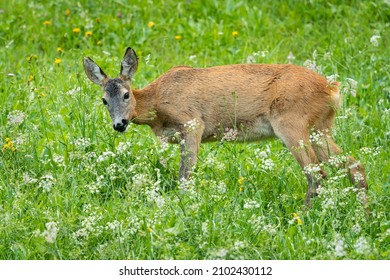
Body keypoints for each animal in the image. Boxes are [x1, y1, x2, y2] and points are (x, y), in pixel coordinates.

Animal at [84, 47, 368, 205]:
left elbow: (184, 176)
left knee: (316, 174)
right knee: (354, 164)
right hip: (320, 126)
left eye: (126, 95)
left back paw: (302, 216)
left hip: (292, 123)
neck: (156, 103)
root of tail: (331, 89)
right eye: (103, 100)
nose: (119, 124)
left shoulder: (192, 123)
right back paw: (363, 215)